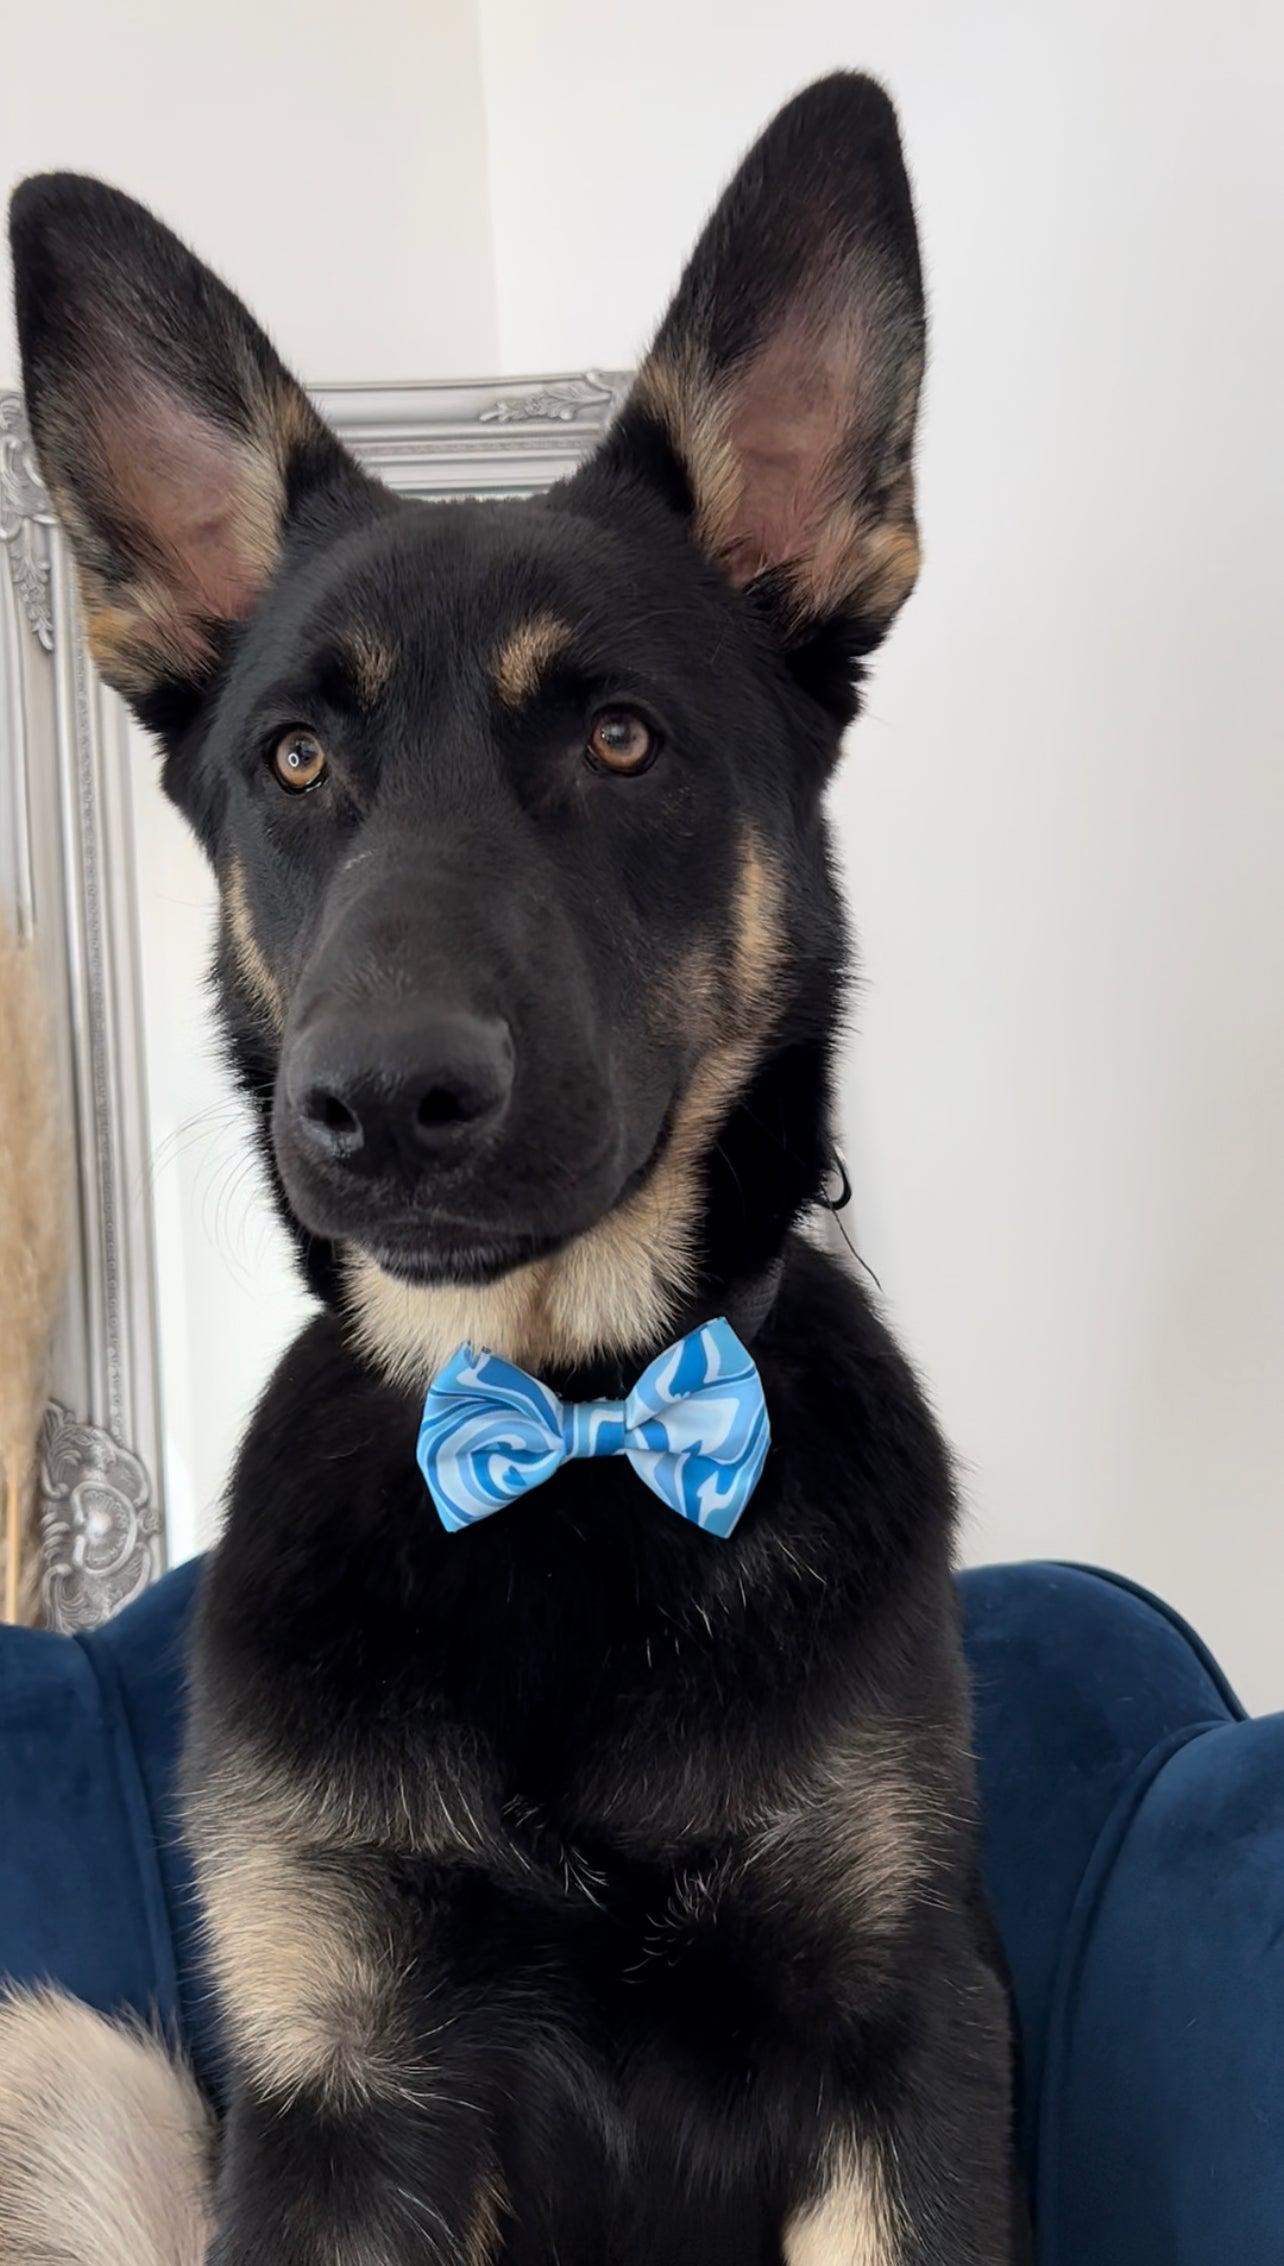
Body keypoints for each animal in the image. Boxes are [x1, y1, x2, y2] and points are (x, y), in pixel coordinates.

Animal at [0, 70, 1023, 2266]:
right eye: (296, 761)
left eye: (621, 739)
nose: (378, 1103)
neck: (568, 1421)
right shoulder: (338, 2096)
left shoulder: (909, 2049)